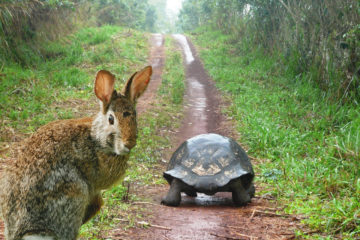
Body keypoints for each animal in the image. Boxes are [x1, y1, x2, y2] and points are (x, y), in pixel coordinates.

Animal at [0, 66, 152, 240]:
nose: (130, 143)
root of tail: (26, 230)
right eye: (111, 119)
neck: (97, 138)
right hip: (73, 191)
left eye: (135, 117)